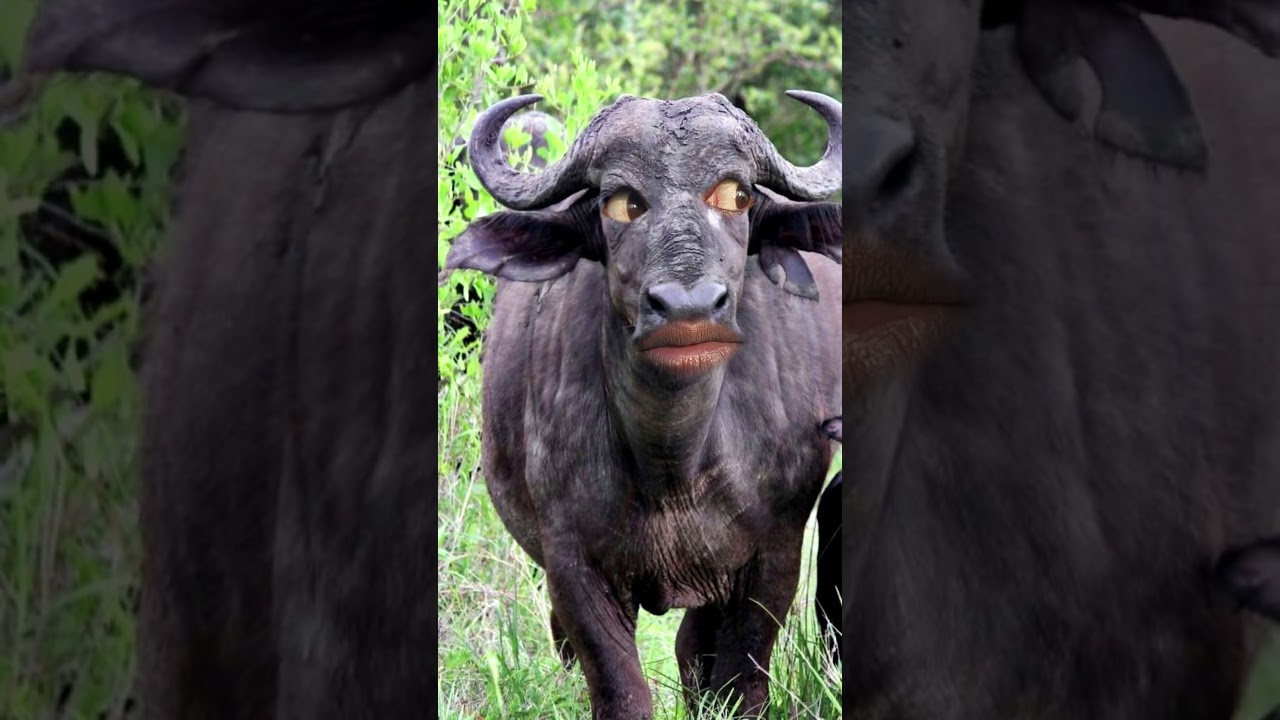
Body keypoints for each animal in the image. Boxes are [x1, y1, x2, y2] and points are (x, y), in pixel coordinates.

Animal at [443, 91, 842, 718]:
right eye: (623, 203)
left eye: (737, 195)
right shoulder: (571, 563)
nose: (688, 309)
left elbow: (741, 680)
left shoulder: (776, 554)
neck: (675, 466)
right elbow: (618, 686)